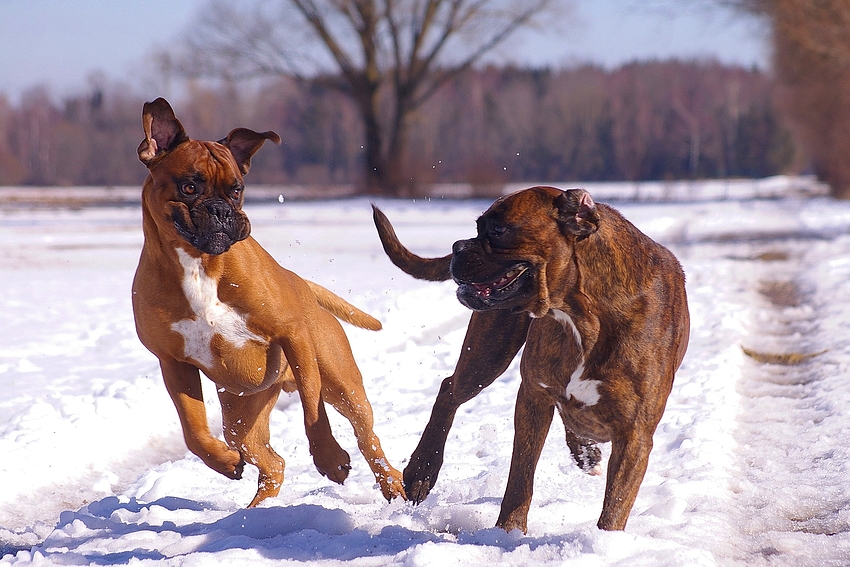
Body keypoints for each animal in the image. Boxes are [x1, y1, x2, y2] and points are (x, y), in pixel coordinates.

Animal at [134, 97, 406, 506]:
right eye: (188, 186)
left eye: (236, 190)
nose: (221, 210)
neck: (198, 265)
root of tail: (304, 285)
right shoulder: (174, 364)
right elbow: (193, 431)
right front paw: (223, 462)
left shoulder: (292, 337)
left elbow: (313, 412)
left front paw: (330, 458)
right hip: (241, 413)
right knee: (268, 460)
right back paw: (254, 508)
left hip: (343, 386)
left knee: (367, 439)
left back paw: (393, 486)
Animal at [372, 186, 688, 532]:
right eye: (478, 227)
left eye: (498, 230)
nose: (457, 247)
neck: (583, 313)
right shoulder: (534, 397)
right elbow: (521, 475)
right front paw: (508, 531)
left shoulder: (635, 435)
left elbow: (616, 503)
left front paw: (604, 538)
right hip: (487, 354)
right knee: (450, 390)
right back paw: (421, 472)